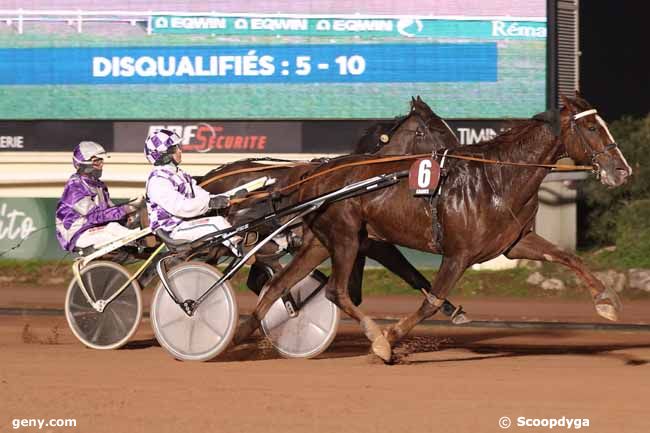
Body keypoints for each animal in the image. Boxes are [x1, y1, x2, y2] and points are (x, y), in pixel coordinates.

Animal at [235, 94, 632, 362]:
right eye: (592, 126)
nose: (623, 170)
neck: (496, 179)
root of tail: (311, 175)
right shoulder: (458, 254)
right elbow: (432, 300)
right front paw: (389, 338)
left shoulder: (515, 243)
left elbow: (567, 257)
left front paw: (607, 302)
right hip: (346, 238)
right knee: (335, 291)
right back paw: (374, 335)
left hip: (322, 242)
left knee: (279, 284)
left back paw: (242, 330)